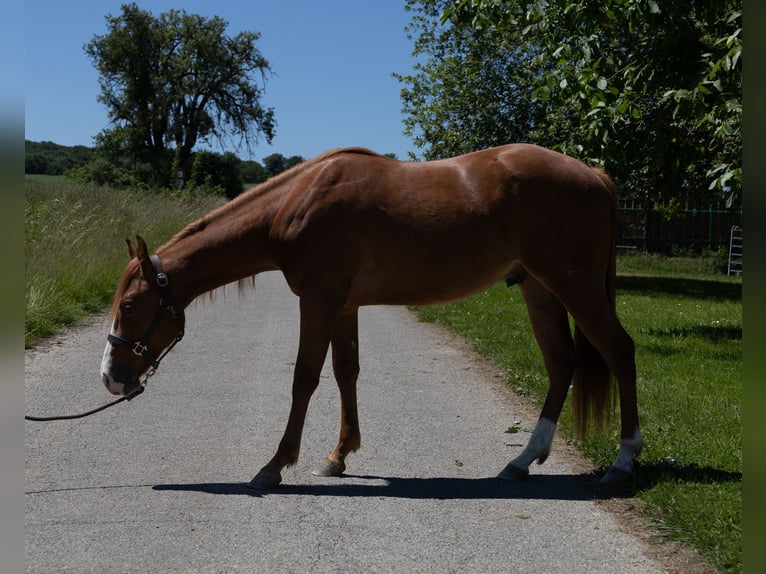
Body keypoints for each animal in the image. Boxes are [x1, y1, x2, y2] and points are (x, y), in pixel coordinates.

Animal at [101, 143, 642, 490]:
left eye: (128, 306)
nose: (110, 376)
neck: (299, 199)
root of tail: (594, 175)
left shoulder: (319, 300)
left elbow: (305, 378)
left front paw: (275, 465)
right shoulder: (343, 306)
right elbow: (346, 373)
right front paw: (338, 456)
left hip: (574, 287)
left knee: (619, 350)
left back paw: (623, 460)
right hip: (538, 288)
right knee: (561, 363)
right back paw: (524, 460)